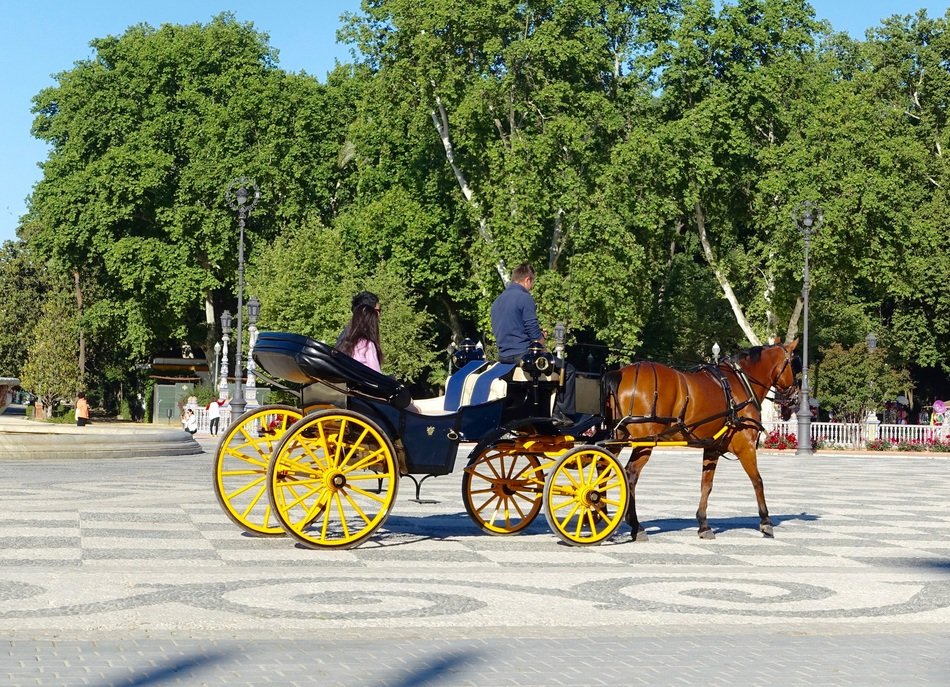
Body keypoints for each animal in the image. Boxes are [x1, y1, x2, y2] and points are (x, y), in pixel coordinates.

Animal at [601, 340, 800, 541]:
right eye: (794, 365)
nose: (795, 399)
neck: (741, 383)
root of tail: (620, 372)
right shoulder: (746, 447)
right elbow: (757, 481)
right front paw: (766, 522)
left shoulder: (712, 448)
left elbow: (706, 485)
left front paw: (703, 524)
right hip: (643, 443)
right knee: (630, 475)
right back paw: (635, 526)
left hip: (619, 436)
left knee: (604, 466)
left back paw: (602, 516)